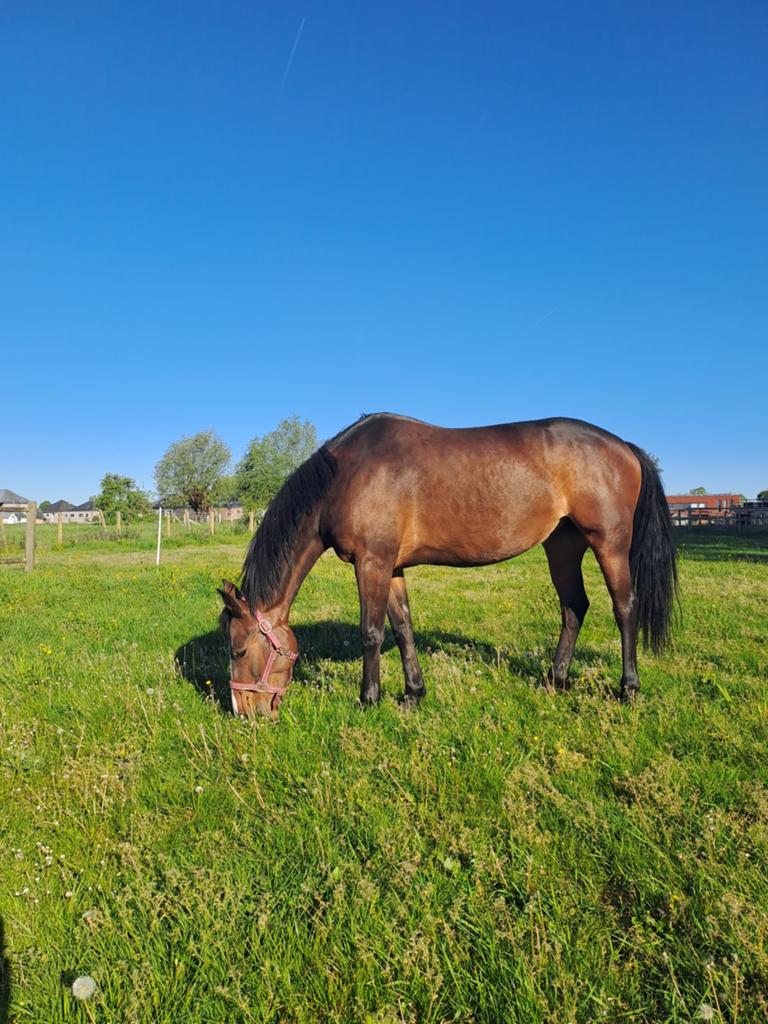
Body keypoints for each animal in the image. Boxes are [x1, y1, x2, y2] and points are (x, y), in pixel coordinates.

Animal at [218, 414, 677, 717]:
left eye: (239, 649)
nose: (243, 711)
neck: (348, 473)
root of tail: (624, 446)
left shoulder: (372, 562)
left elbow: (371, 632)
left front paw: (369, 699)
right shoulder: (392, 567)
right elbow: (402, 628)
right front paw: (412, 694)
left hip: (609, 544)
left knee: (624, 608)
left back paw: (628, 688)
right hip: (562, 546)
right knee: (574, 607)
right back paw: (555, 680)